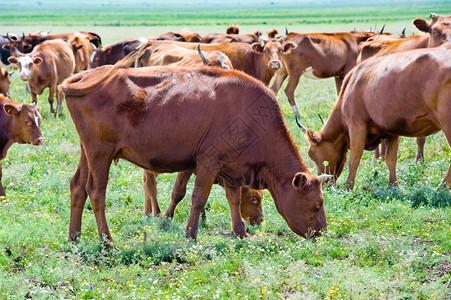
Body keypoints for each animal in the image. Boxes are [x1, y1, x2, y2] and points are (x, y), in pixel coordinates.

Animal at [302, 44, 451, 190]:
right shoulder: (393, 130)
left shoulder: (356, 126)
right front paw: (393, 185)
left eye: (311, 154)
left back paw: (442, 187)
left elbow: (354, 158)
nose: (322, 185)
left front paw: (348, 187)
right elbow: (391, 159)